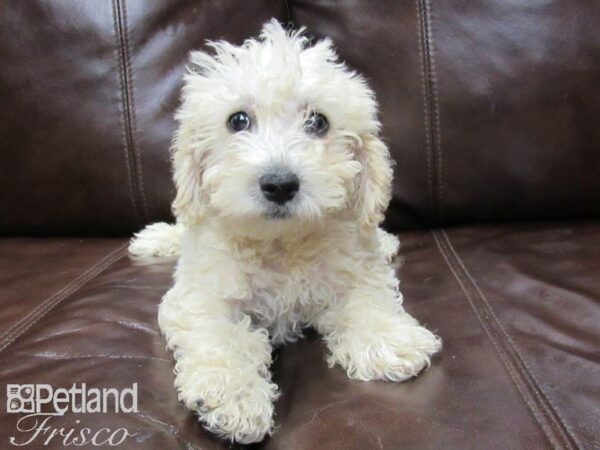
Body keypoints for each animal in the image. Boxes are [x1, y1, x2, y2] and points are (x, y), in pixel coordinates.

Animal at [130, 20, 440, 442]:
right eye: (238, 120)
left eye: (319, 122)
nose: (279, 184)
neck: (279, 242)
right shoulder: (203, 293)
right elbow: (220, 335)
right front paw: (233, 397)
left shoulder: (354, 268)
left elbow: (368, 298)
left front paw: (387, 339)